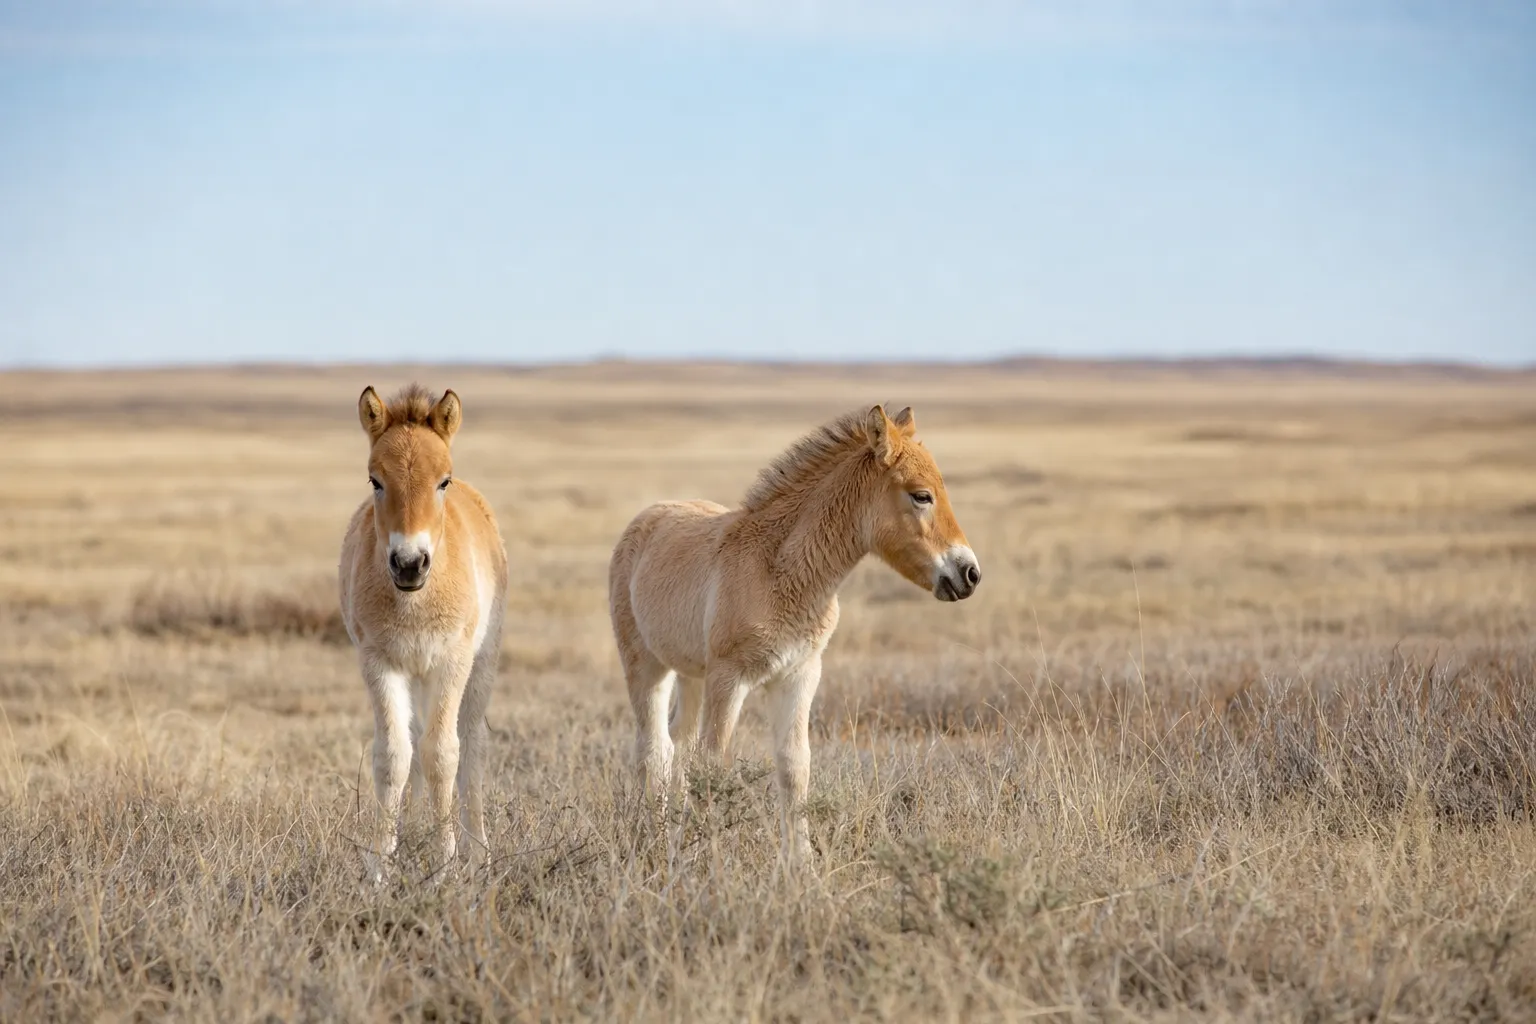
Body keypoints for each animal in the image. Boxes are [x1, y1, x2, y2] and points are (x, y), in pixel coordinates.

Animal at [338, 384, 508, 882]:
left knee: (472, 746)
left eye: (443, 480)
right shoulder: (380, 663)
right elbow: (394, 756)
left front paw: (447, 865)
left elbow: (442, 754)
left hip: (481, 665)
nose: (409, 564)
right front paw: (380, 867)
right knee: (413, 739)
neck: (414, 602)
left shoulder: (452, 662)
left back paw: (479, 852)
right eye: (375, 480)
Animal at [608, 404, 981, 864]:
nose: (970, 574)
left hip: (692, 674)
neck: (779, 569)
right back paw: (658, 845)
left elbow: (793, 763)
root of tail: (647, 516)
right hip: (646, 666)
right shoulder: (729, 678)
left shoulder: (799, 673)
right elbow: (715, 764)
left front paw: (800, 863)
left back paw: (674, 841)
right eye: (921, 495)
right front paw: (712, 862)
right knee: (655, 749)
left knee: (680, 741)